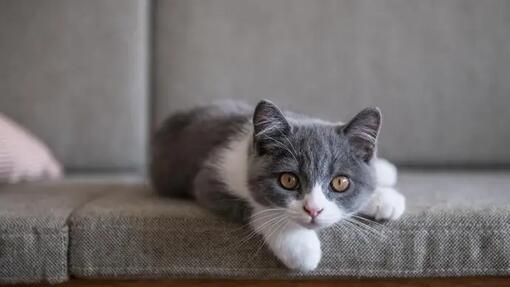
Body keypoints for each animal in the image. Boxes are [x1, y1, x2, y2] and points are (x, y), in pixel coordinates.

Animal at [149, 100, 404, 272]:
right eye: (288, 180)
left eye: (340, 182)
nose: (313, 210)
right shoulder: (210, 176)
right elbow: (258, 208)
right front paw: (300, 246)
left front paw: (383, 199)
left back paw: (386, 170)